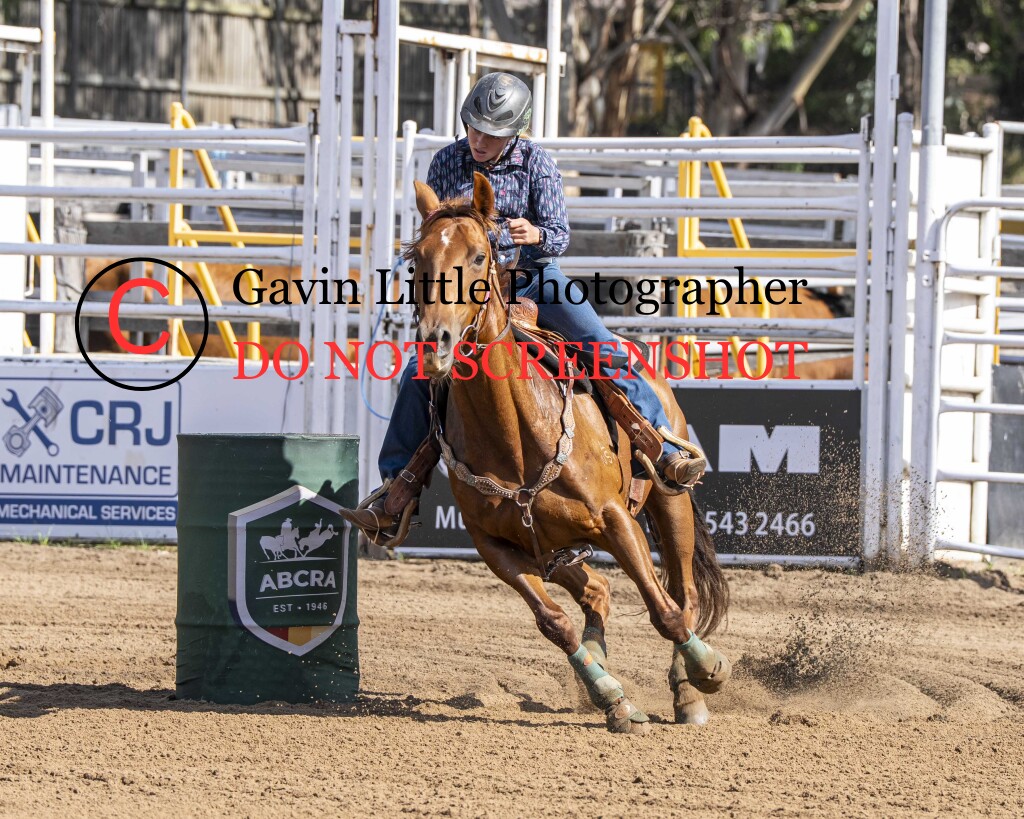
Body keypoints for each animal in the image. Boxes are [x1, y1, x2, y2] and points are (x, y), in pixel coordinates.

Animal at [402, 172, 731, 734]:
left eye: (478, 256)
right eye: (417, 259)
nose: (435, 344)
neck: (513, 434)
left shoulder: (614, 519)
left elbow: (662, 608)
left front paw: (707, 670)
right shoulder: (496, 548)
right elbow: (554, 623)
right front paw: (612, 697)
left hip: (669, 503)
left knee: (682, 593)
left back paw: (688, 692)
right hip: (555, 546)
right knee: (597, 591)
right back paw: (603, 668)